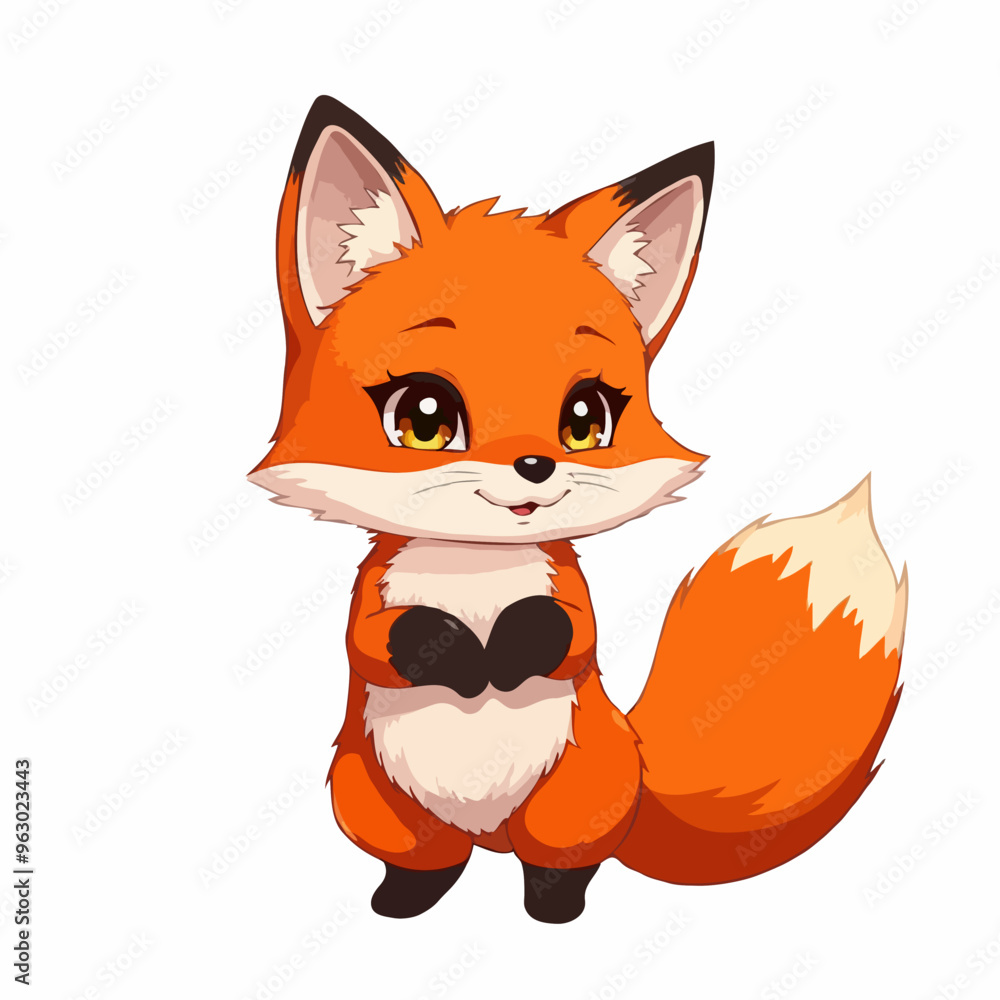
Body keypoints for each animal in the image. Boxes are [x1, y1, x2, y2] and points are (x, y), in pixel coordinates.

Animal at [248, 96, 908, 923]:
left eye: (586, 419)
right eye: (425, 418)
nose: (535, 466)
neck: (477, 572)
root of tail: (489, 837)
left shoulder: (567, 592)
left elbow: (568, 634)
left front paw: (503, 654)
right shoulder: (374, 597)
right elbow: (378, 641)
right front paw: (460, 657)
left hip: (574, 798)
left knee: (561, 865)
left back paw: (552, 906)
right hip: (371, 799)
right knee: (430, 862)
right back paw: (406, 900)